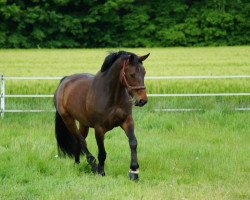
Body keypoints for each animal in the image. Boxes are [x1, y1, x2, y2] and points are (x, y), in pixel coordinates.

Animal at [53, 50, 149, 180]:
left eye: (144, 72)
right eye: (132, 74)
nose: (142, 100)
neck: (112, 96)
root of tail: (65, 80)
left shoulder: (127, 121)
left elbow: (133, 142)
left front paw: (134, 172)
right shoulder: (99, 128)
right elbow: (102, 152)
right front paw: (101, 172)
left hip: (83, 123)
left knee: (79, 140)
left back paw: (77, 163)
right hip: (68, 120)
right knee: (81, 140)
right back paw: (93, 165)